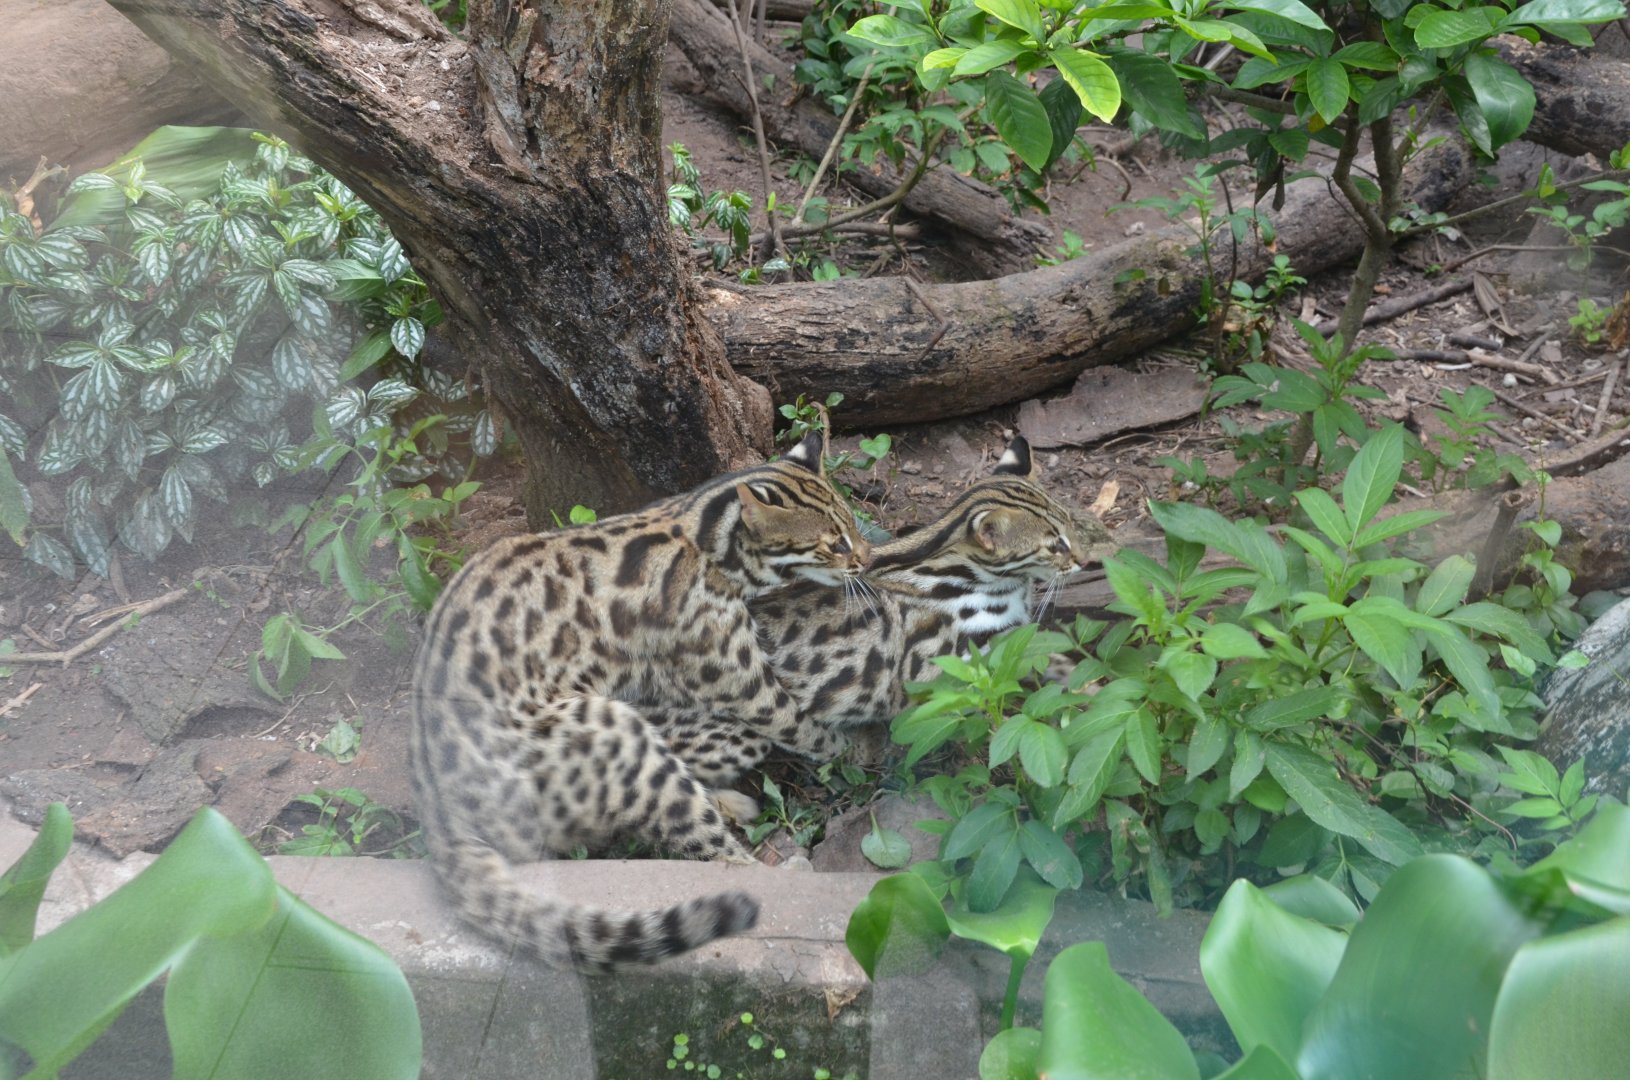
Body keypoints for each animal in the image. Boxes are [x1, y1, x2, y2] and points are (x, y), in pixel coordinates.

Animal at [409, 431, 869, 971]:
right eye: (834, 542)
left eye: (853, 524)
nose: (867, 557)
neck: (704, 533)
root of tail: (436, 805)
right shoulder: (740, 681)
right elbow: (799, 721)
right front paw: (854, 749)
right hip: (613, 732)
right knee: (710, 848)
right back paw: (785, 873)